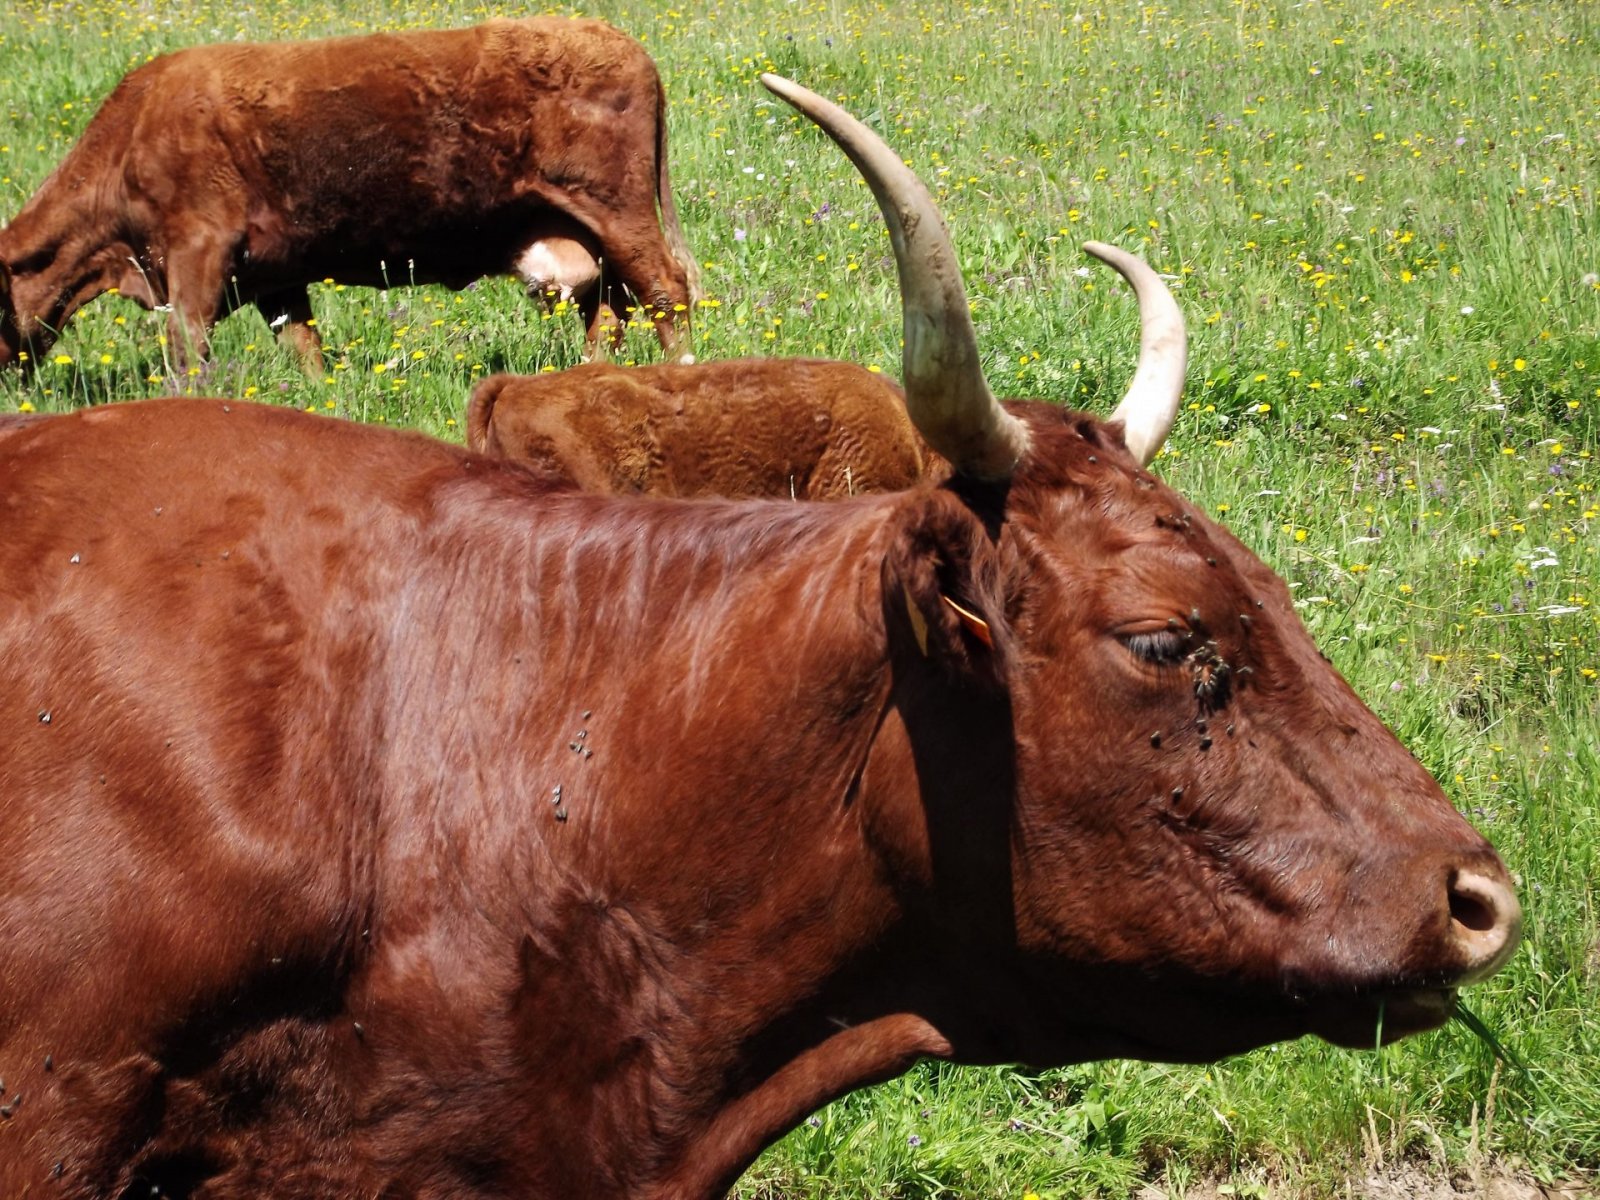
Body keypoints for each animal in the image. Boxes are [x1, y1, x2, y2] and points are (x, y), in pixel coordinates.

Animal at [0, 16, 700, 374]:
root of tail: (616, 38)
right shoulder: (274, 272)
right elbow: (300, 341)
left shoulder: (197, 248)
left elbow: (186, 344)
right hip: (584, 229)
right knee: (608, 307)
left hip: (617, 210)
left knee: (665, 290)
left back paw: (683, 373)